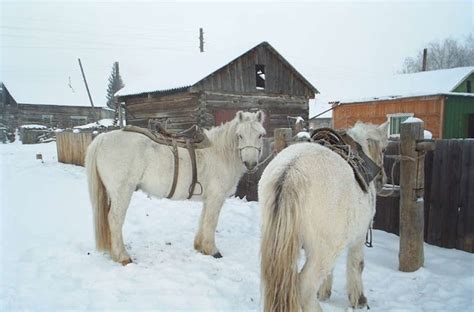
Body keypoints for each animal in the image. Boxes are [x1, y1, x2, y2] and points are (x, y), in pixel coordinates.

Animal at [83, 111, 264, 264]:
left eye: (260, 135)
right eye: (240, 135)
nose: (251, 164)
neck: (220, 153)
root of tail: (103, 138)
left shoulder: (208, 199)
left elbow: (203, 220)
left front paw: (200, 247)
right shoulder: (216, 198)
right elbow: (211, 223)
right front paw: (213, 251)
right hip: (122, 192)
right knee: (114, 219)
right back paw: (123, 257)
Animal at [260, 120, 388, 310]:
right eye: (384, 149)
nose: (382, 180)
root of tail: (290, 172)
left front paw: (324, 292)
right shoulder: (358, 238)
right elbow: (357, 264)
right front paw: (359, 300)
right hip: (323, 251)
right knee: (303, 289)